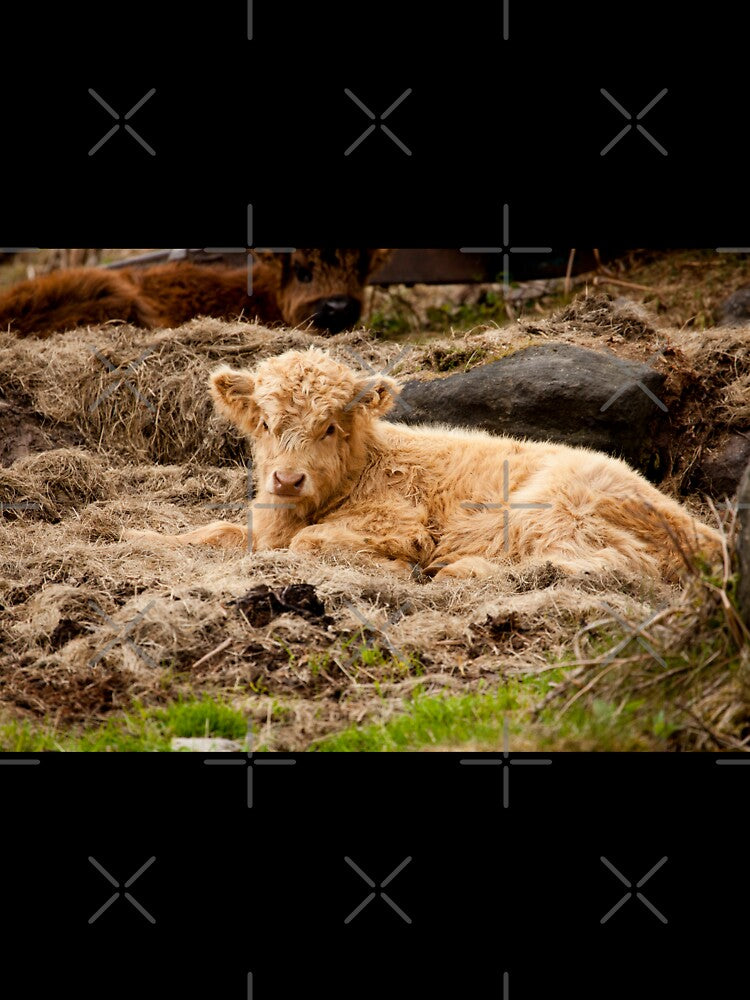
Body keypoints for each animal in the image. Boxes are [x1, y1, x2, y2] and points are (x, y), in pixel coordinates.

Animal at [127, 347, 722, 583]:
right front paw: (141, 540)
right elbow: (211, 533)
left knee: (599, 567)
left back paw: (452, 571)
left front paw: (396, 569)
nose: (288, 479)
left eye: (329, 426)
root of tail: (702, 531)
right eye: (268, 424)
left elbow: (308, 546)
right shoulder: (260, 525)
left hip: (555, 511)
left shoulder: (399, 524)